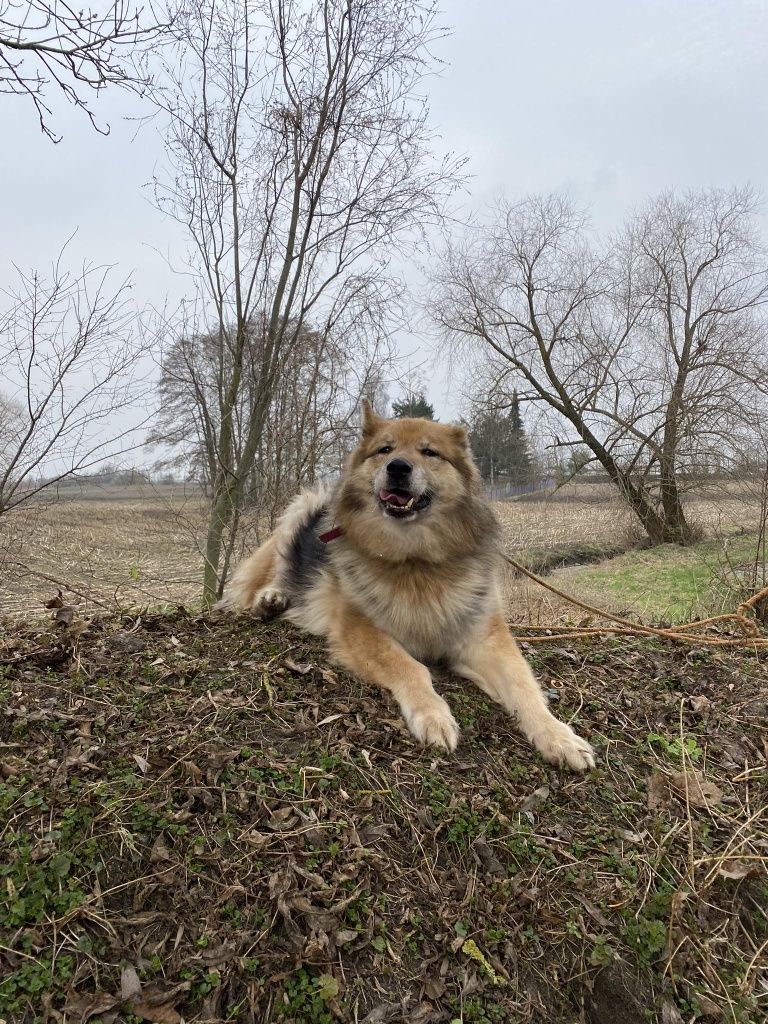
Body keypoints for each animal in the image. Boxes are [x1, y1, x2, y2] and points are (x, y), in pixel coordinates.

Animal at [222, 399, 593, 770]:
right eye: (385, 449)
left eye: (429, 452)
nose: (397, 467)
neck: (415, 558)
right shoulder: (361, 629)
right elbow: (411, 667)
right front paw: (433, 715)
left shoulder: (485, 637)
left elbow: (523, 685)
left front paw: (558, 736)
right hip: (301, 510)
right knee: (270, 574)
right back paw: (270, 598)